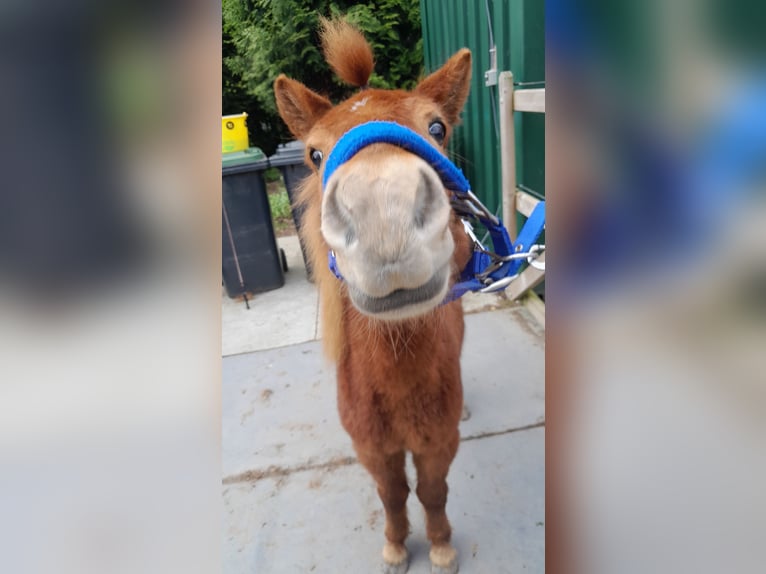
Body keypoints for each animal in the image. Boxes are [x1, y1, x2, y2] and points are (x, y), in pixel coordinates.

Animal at [276, 18, 474, 574]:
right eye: (314, 153)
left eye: (437, 128)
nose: (384, 212)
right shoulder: (372, 448)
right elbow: (392, 494)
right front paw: (395, 546)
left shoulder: (437, 443)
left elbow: (431, 491)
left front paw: (441, 547)